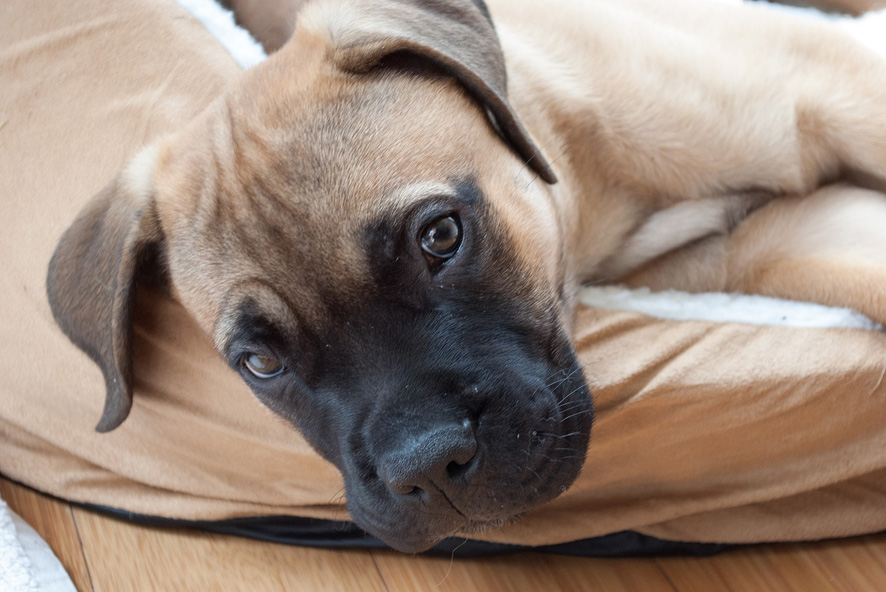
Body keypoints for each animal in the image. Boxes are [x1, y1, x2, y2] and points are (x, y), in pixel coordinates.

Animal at [45, 0, 886, 552]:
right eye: (260, 362)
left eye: (441, 236)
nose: (429, 470)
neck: (592, 187)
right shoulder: (770, 241)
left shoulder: (837, 87)